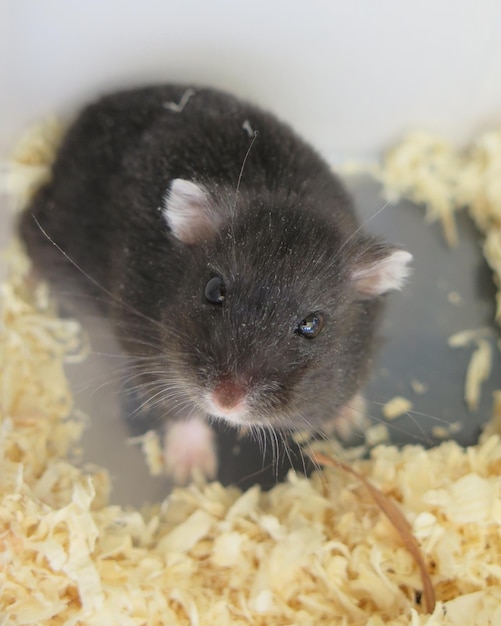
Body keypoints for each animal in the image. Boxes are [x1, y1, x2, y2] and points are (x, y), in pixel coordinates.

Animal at [19, 84, 410, 482]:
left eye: (312, 325)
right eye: (213, 290)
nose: (226, 402)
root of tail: (88, 113)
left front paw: (349, 420)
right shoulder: (148, 352)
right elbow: (179, 409)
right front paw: (193, 473)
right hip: (56, 231)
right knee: (26, 228)